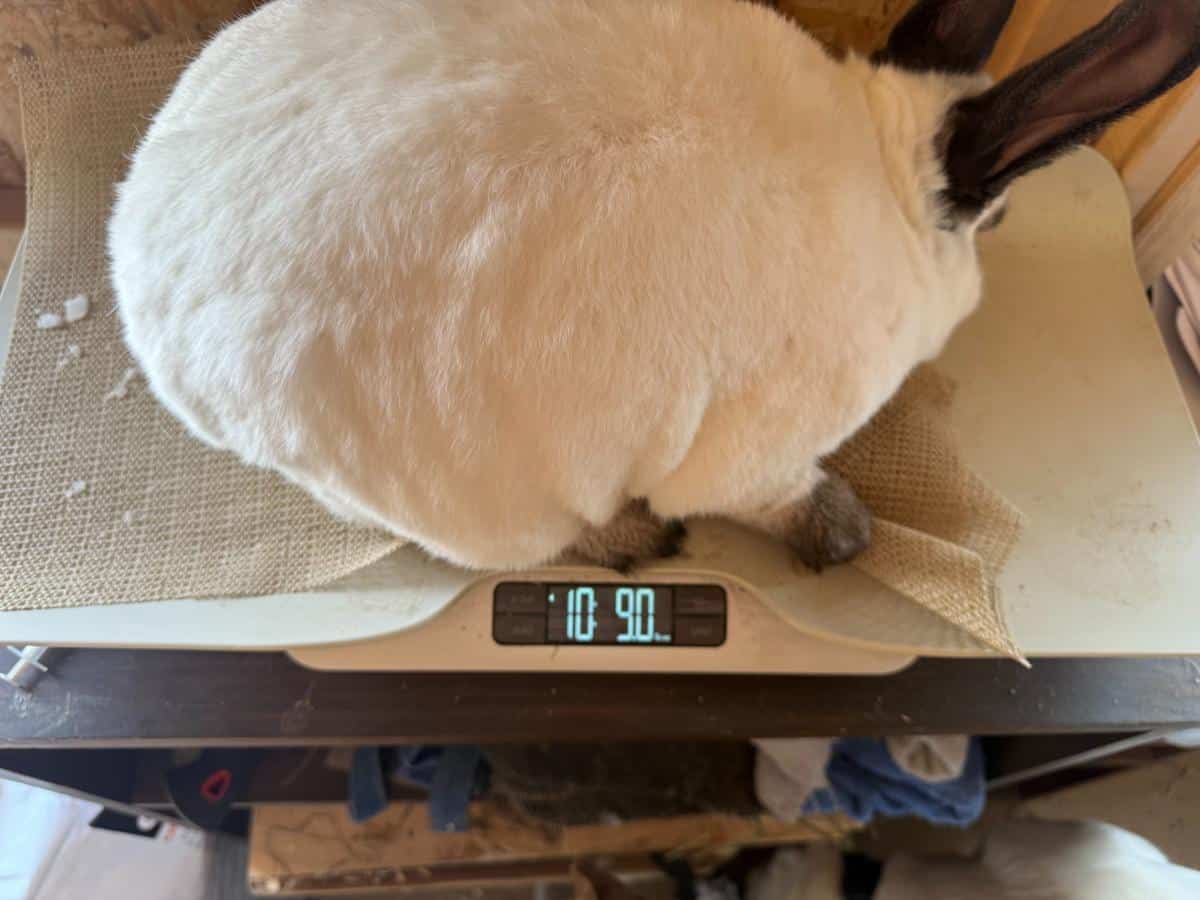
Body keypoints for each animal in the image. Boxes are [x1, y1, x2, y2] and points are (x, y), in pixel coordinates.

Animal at [109, 0, 1200, 572]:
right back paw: (636, 537)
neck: (884, 175)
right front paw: (844, 534)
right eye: (997, 220)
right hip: (489, 504)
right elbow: (775, 497)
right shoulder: (757, 455)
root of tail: (143, 298)